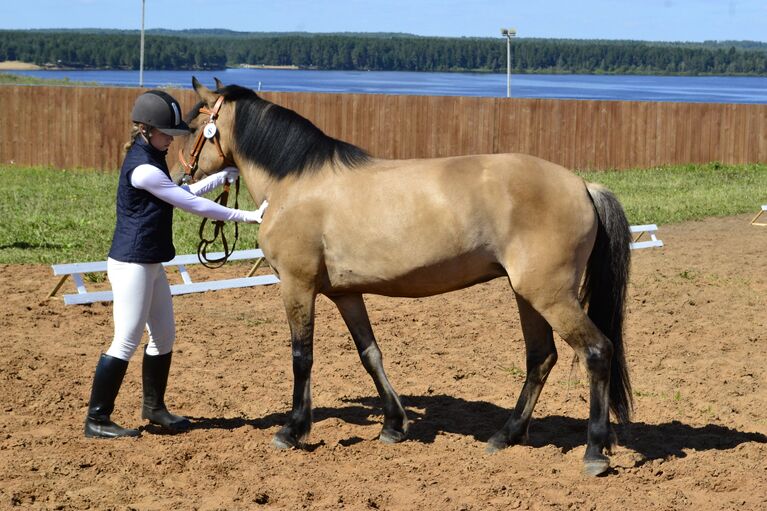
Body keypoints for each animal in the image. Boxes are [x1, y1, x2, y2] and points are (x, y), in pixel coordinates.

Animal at [182, 78, 636, 478]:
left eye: (192, 126)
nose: (181, 174)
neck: (297, 184)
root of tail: (583, 185)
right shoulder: (345, 294)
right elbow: (370, 354)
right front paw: (393, 425)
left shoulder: (297, 285)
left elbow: (301, 356)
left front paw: (292, 430)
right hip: (528, 296)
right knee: (540, 358)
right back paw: (505, 436)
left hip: (551, 296)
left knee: (596, 351)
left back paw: (594, 452)